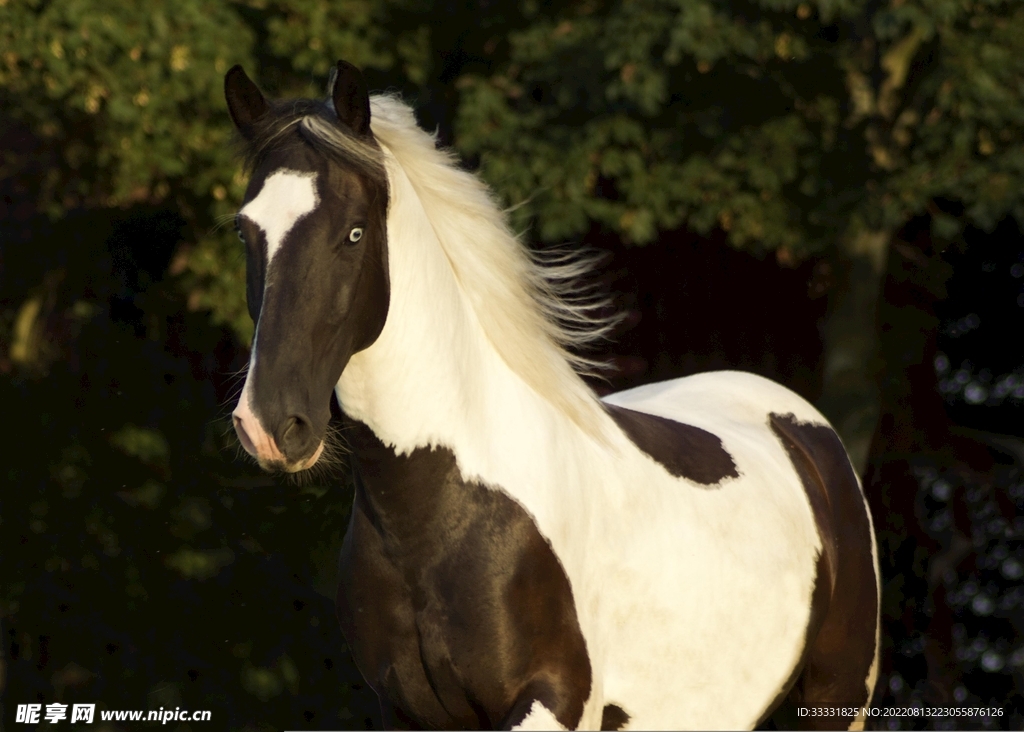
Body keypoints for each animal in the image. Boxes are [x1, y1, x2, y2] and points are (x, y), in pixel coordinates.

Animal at [224, 59, 881, 731]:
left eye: (354, 232)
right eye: (245, 231)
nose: (272, 427)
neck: (439, 514)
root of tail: (804, 430)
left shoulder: (551, 703)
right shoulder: (402, 711)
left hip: (836, 699)